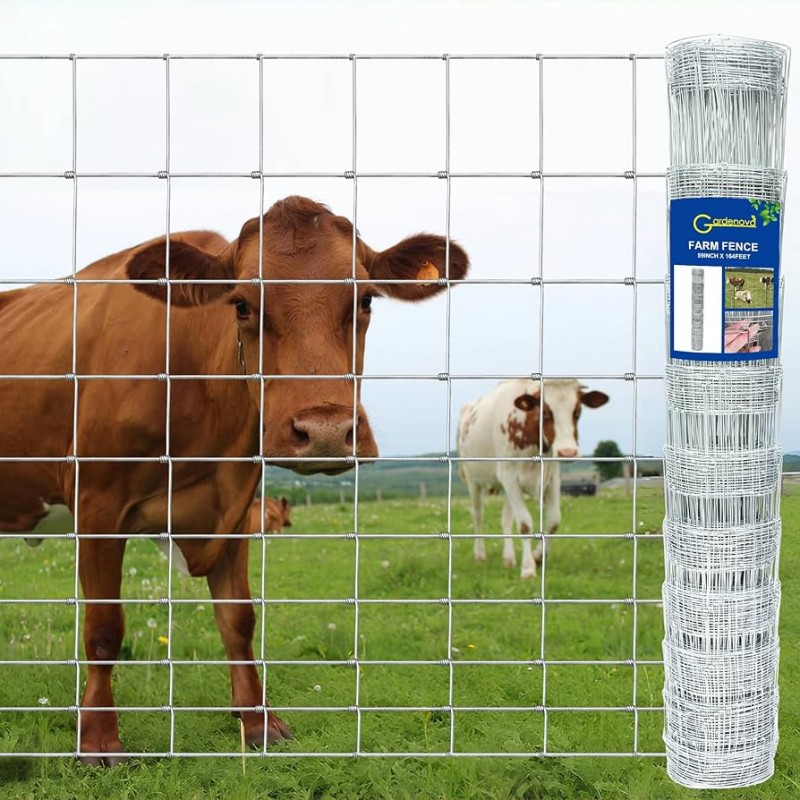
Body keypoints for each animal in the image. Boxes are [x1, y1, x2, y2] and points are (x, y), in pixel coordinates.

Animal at [0, 195, 468, 765]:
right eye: (241, 304)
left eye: (366, 300)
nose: (326, 432)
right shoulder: (97, 504)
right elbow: (105, 628)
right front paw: (99, 739)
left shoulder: (237, 507)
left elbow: (239, 619)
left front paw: (259, 722)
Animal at [457, 379, 609, 579]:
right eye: (544, 412)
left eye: (578, 411)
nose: (567, 452)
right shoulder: (508, 475)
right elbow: (524, 524)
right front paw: (528, 568)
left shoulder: (552, 477)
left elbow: (553, 520)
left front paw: (538, 557)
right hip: (473, 479)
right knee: (478, 515)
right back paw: (480, 554)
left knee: (506, 519)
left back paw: (508, 558)